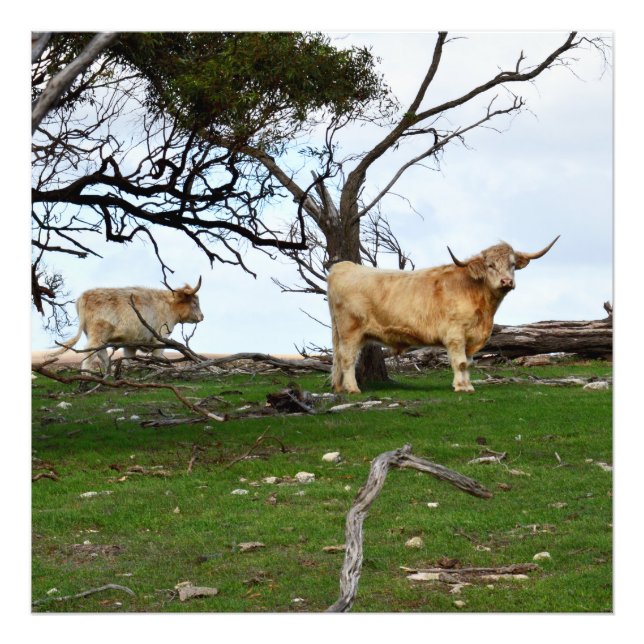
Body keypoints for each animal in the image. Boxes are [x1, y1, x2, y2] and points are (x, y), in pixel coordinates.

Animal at [51, 278, 204, 373]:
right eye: (194, 303)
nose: (202, 316)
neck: (168, 305)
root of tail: (85, 295)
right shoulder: (160, 337)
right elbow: (157, 357)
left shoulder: (131, 343)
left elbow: (129, 359)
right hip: (97, 334)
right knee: (89, 352)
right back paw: (87, 374)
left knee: (102, 354)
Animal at [327, 237, 559, 394]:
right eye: (490, 265)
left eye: (512, 265)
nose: (506, 281)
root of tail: (343, 266)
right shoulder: (455, 335)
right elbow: (460, 362)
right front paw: (462, 387)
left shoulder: (470, 338)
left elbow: (468, 362)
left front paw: (467, 384)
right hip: (350, 330)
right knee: (347, 358)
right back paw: (352, 388)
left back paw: (340, 387)